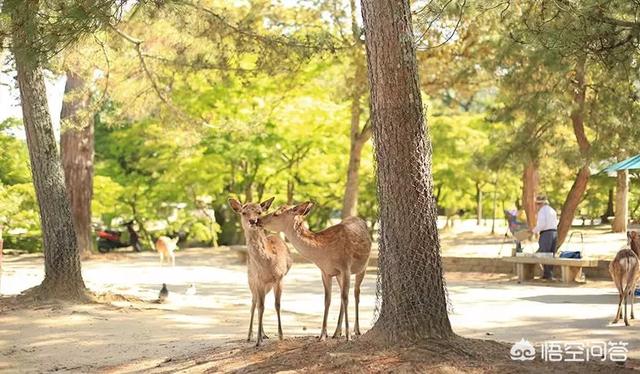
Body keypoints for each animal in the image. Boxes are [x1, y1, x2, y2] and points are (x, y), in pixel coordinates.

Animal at [228, 197, 292, 346]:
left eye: (259, 212)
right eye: (243, 212)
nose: (253, 221)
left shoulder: (279, 278)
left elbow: (277, 305)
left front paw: (281, 336)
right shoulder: (258, 280)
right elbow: (260, 307)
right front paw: (257, 340)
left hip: (267, 285)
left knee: (259, 302)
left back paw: (264, 334)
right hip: (250, 280)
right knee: (254, 303)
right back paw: (250, 335)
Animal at [258, 202, 372, 342]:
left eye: (276, 213)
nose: (258, 220)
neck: (325, 253)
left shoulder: (346, 266)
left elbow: (346, 298)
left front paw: (348, 336)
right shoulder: (325, 272)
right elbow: (327, 300)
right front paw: (322, 335)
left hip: (363, 266)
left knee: (356, 294)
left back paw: (356, 330)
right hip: (340, 275)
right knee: (343, 295)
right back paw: (336, 332)